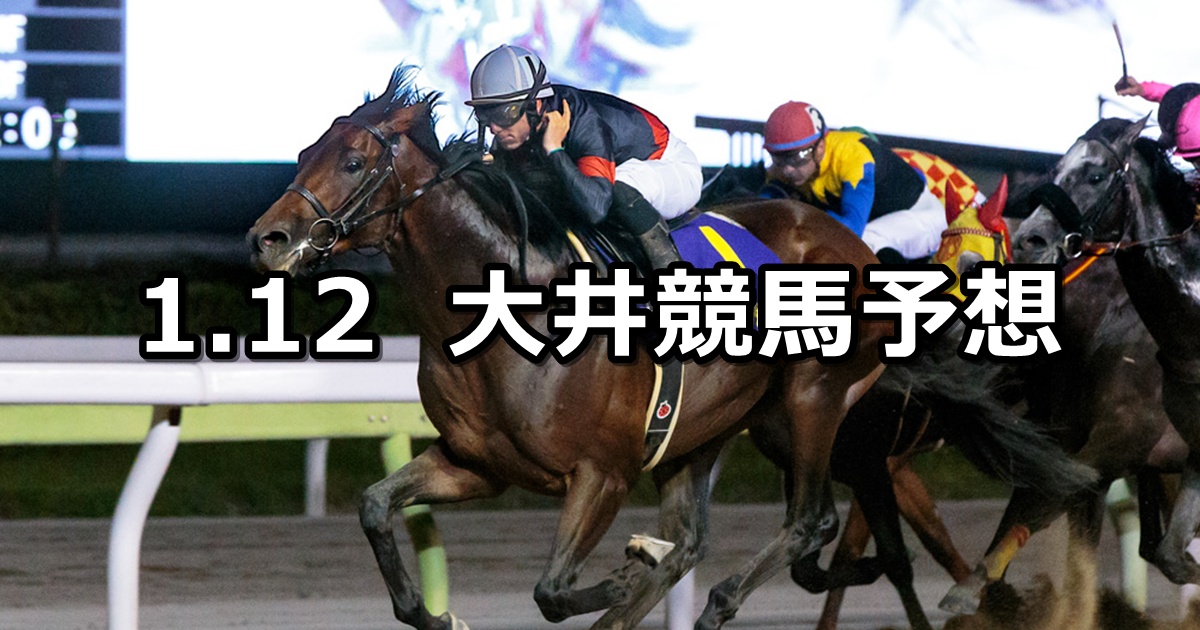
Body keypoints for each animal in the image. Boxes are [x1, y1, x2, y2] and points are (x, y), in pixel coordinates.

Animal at [247, 65, 895, 630]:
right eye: (304, 154)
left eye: (353, 162)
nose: (266, 238)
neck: (513, 308)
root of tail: (851, 243)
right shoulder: (476, 463)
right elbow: (375, 507)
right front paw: (437, 615)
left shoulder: (602, 473)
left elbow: (552, 591)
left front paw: (632, 567)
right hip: (708, 428)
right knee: (693, 542)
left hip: (811, 398)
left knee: (810, 520)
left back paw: (711, 598)